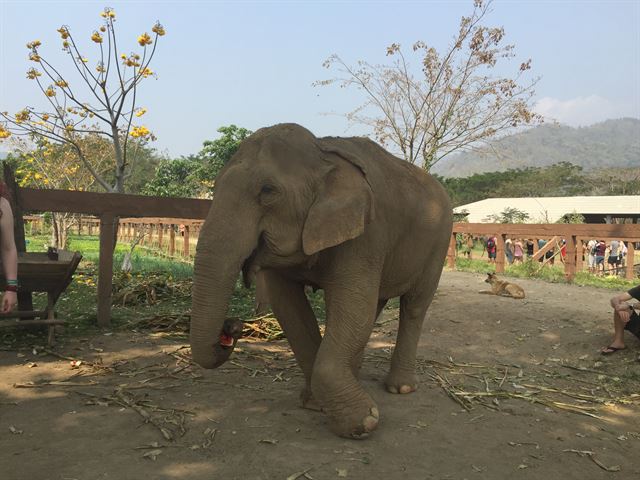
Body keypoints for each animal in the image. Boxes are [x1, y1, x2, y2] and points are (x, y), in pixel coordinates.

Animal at [188, 123, 452, 438]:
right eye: (214, 188)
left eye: (268, 191)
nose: (232, 326)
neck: (322, 153)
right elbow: (291, 309)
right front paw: (316, 404)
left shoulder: (366, 234)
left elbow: (350, 304)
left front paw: (363, 421)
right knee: (372, 308)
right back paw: (356, 375)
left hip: (439, 242)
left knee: (413, 306)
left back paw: (400, 388)